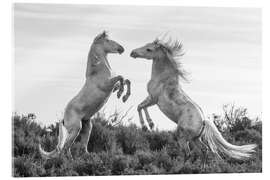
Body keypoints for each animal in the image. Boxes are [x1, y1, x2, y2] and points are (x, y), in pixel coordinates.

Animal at [39, 31, 131, 159]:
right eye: (107, 40)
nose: (121, 48)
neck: (97, 71)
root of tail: (64, 119)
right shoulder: (106, 85)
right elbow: (121, 77)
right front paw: (121, 95)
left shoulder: (112, 86)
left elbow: (126, 80)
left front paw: (124, 96)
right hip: (76, 129)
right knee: (65, 149)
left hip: (87, 126)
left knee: (80, 148)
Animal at [131, 38, 258, 167]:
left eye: (149, 49)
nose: (132, 53)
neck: (163, 79)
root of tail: (203, 121)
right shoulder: (150, 98)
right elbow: (139, 106)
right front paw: (148, 126)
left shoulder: (154, 99)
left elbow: (141, 107)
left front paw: (148, 125)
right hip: (195, 139)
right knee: (204, 150)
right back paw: (202, 167)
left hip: (183, 137)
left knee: (188, 153)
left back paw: (181, 167)